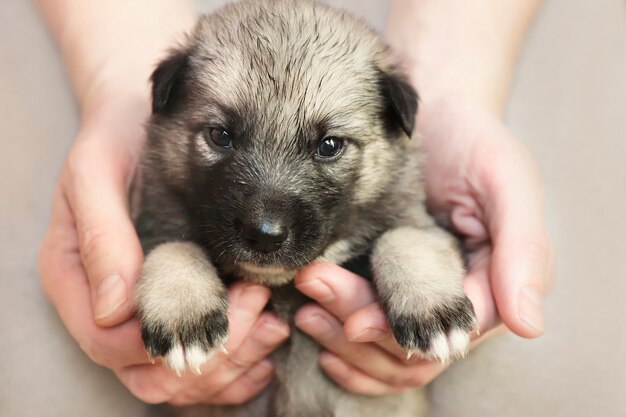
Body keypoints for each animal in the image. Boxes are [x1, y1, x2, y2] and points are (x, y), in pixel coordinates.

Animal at [135, 1, 472, 414]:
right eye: (220, 136)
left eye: (328, 145)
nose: (264, 235)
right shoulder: (154, 224)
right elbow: (174, 248)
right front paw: (183, 313)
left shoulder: (423, 222)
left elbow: (406, 238)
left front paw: (432, 309)